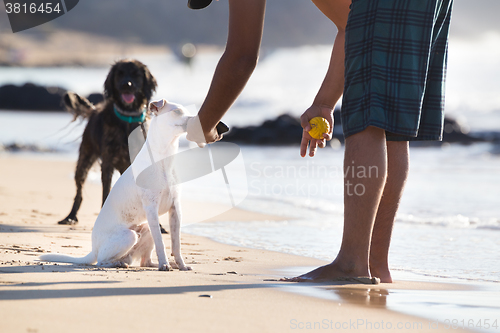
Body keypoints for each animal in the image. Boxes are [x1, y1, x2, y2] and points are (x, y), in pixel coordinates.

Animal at [41, 98, 191, 270]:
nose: (194, 119)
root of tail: (94, 249)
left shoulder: (175, 209)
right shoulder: (151, 209)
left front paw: (181, 264)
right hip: (129, 236)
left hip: (145, 228)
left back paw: (154, 264)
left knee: (144, 261)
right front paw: (164, 264)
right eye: (177, 112)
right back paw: (118, 263)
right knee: (102, 260)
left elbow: (176, 244)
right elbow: (161, 242)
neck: (164, 158)